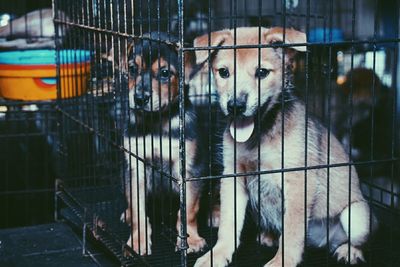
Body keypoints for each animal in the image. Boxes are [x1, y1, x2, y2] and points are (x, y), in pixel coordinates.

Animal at [121, 32, 209, 256]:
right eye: (132, 69)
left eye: (164, 73)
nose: (139, 98)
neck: (156, 124)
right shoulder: (135, 167)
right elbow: (138, 210)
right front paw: (138, 241)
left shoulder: (189, 170)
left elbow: (189, 210)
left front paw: (191, 240)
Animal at [192, 27, 374, 267]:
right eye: (223, 72)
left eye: (262, 72)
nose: (235, 106)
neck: (259, 137)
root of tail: (322, 240)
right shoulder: (233, 176)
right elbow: (228, 224)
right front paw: (218, 254)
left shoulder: (298, 181)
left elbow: (292, 231)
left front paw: (283, 260)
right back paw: (269, 236)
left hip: (357, 217)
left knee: (356, 239)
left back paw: (349, 251)